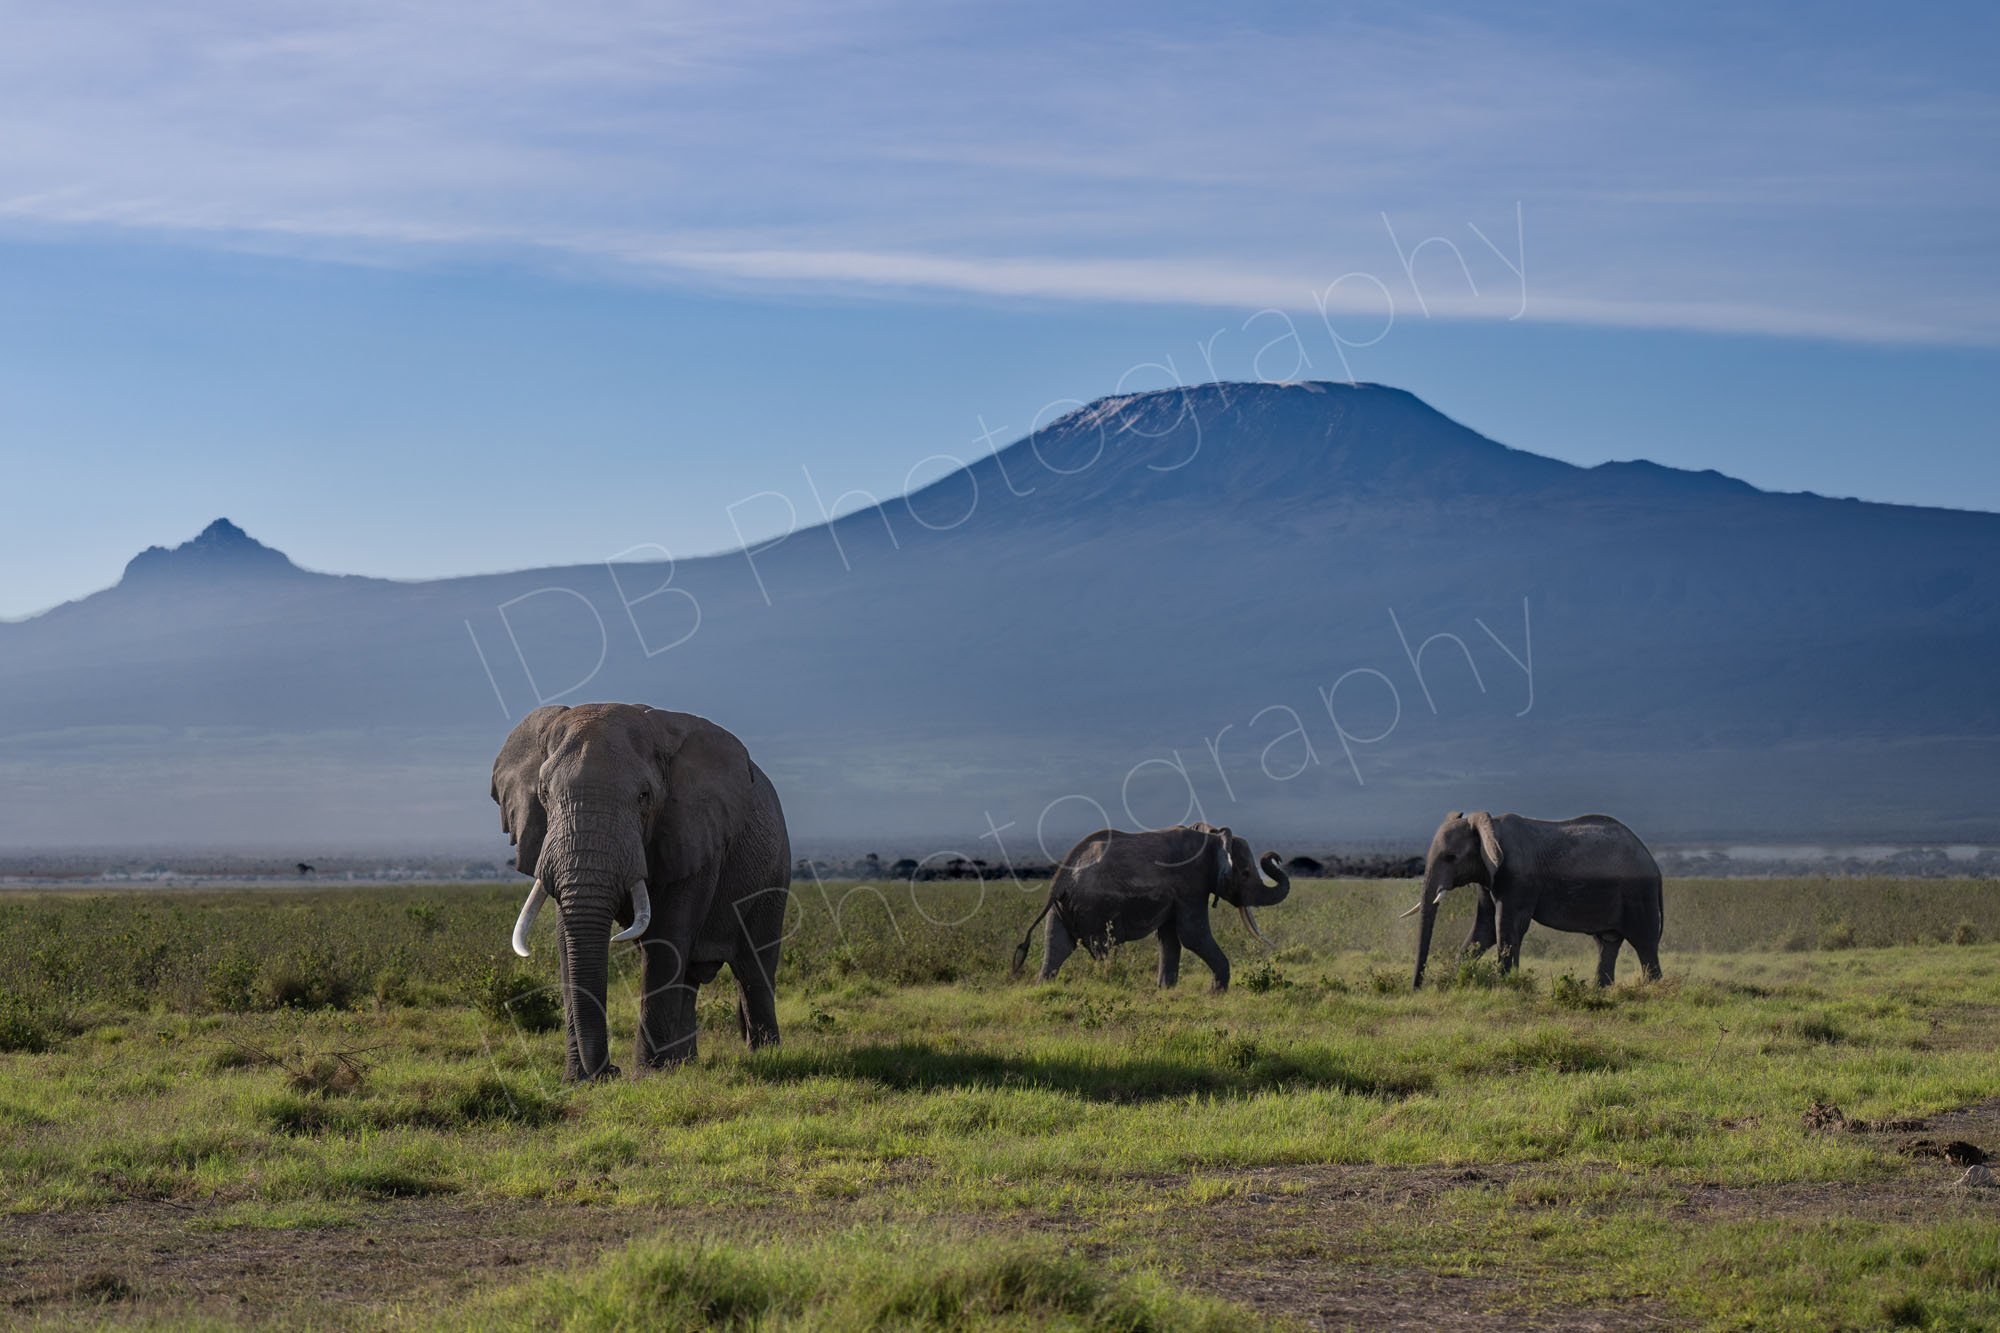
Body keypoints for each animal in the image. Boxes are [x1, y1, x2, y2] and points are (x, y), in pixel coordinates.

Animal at [491, 703, 791, 1080]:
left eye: (643, 796)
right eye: (544, 794)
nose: (610, 1071)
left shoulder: (692, 831)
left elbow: (666, 939)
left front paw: (647, 1077)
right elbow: (566, 939)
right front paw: (578, 1081)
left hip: (775, 870)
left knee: (754, 967)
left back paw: (767, 1057)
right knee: (692, 977)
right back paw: (685, 1065)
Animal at [1010, 824, 1291, 990]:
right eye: (1245, 873)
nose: (1274, 856)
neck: (1210, 835)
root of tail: (1060, 879)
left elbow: (1170, 939)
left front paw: (1165, 991)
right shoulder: (1190, 884)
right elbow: (1193, 935)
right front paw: (1216, 993)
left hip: (1062, 908)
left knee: (1057, 945)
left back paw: (1043, 987)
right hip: (1094, 906)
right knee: (1100, 948)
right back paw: (1106, 983)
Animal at [1407, 811, 1662, 989]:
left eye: (1451, 857)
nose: (1417, 988)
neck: (1492, 825)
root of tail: (1653, 863)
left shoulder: (1518, 878)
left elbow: (1508, 927)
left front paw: (1506, 987)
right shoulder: (1488, 876)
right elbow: (1484, 929)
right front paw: (1455, 980)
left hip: (1639, 893)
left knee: (1645, 945)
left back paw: (1652, 990)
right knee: (1607, 944)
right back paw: (1601, 990)